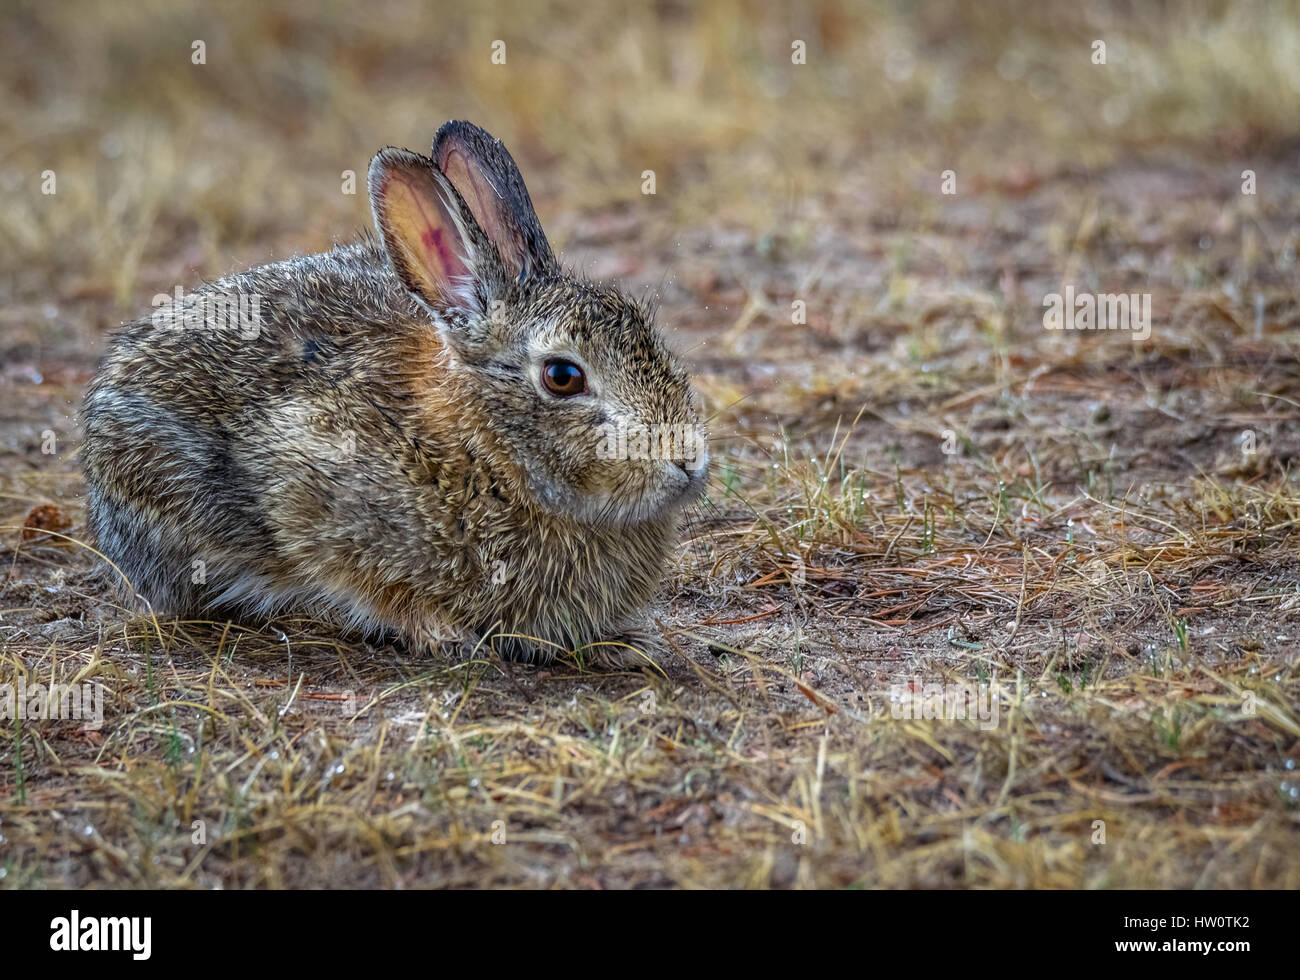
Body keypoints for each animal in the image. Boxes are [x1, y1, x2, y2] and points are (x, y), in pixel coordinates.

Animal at [81, 120, 709, 668]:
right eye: (562, 376)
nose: (687, 460)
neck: (485, 456)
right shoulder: (311, 490)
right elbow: (372, 587)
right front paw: (445, 636)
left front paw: (626, 644)